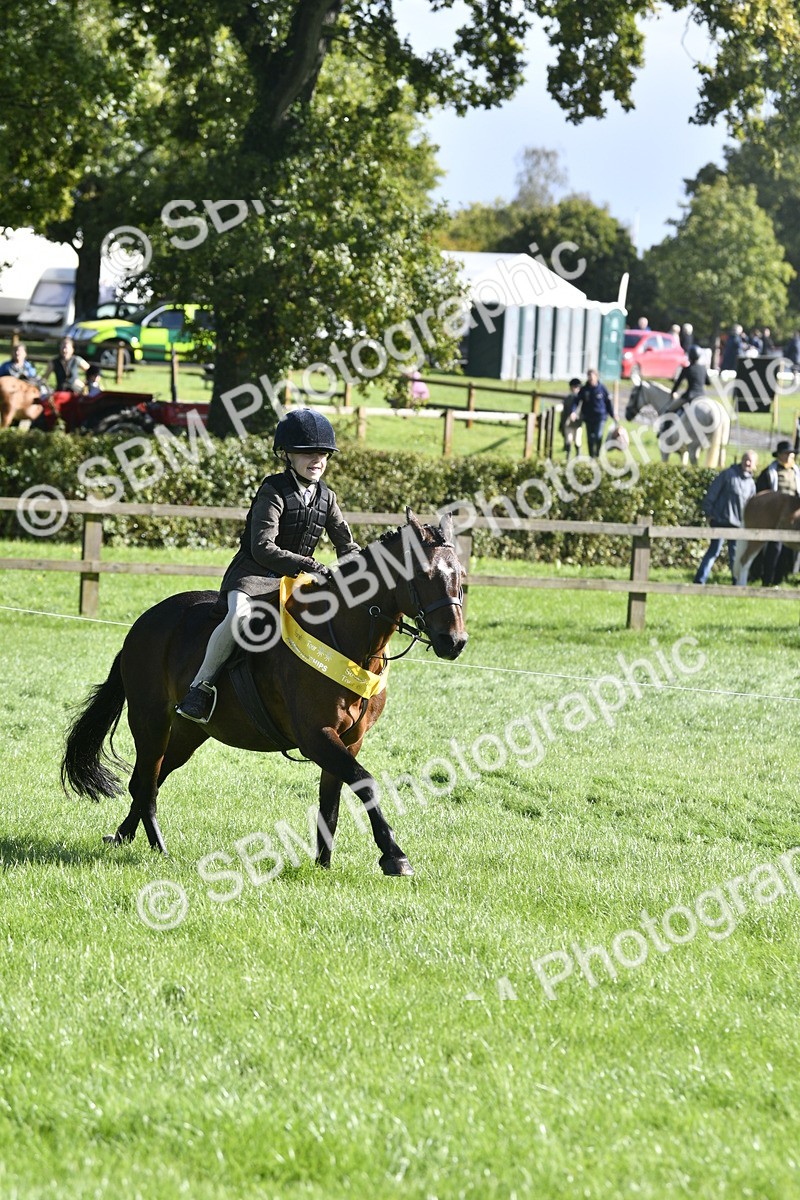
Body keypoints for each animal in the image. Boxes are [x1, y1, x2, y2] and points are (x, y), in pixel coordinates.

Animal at [61, 510, 467, 877]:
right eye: (424, 575)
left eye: (461, 577)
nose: (454, 642)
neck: (344, 635)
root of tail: (142, 624)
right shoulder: (316, 737)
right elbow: (364, 783)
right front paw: (394, 856)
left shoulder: (349, 740)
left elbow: (331, 803)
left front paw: (323, 865)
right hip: (151, 721)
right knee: (146, 783)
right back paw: (159, 849)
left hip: (189, 733)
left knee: (148, 779)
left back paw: (123, 837)